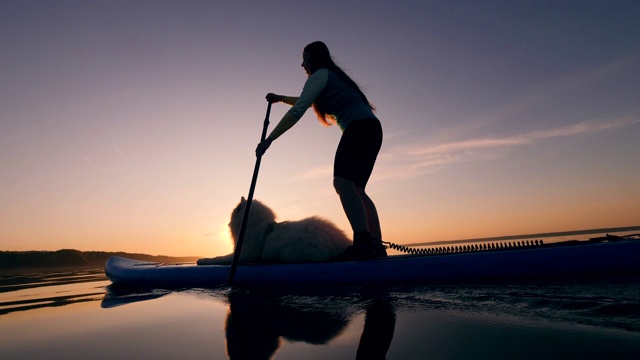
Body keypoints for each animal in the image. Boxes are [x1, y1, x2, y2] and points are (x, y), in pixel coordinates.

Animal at [199, 197, 352, 264]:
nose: (228, 222)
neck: (257, 225)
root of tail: (343, 242)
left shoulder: (242, 255)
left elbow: (219, 258)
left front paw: (203, 260)